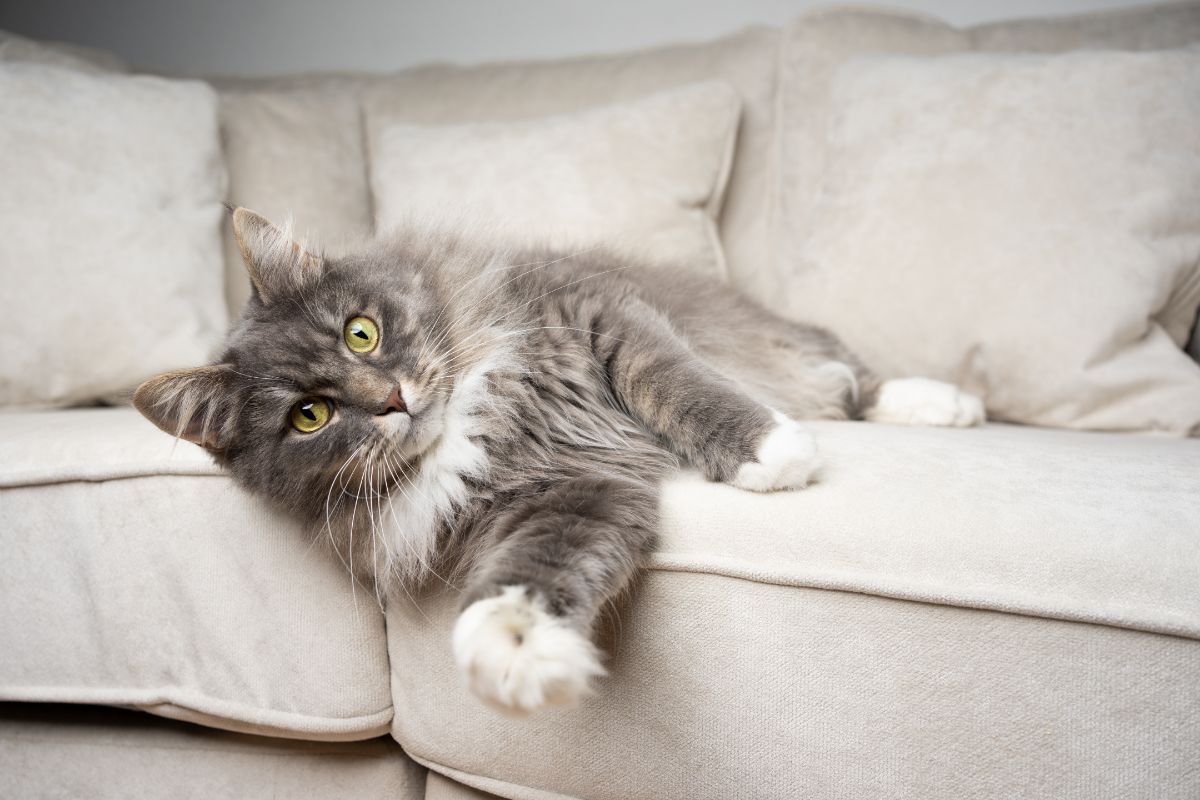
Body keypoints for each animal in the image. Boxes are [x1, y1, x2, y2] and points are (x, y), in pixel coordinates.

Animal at [138, 205, 984, 714]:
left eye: (361, 333)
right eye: (310, 416)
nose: (392, 399)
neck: (478, 418)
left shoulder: (600, 317)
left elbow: (678, 383)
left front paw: (770, 452)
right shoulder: (566, 492)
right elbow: (533, 574)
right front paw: (514, 649)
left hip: (788, 343)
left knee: (852, 378)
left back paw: (947, 404)